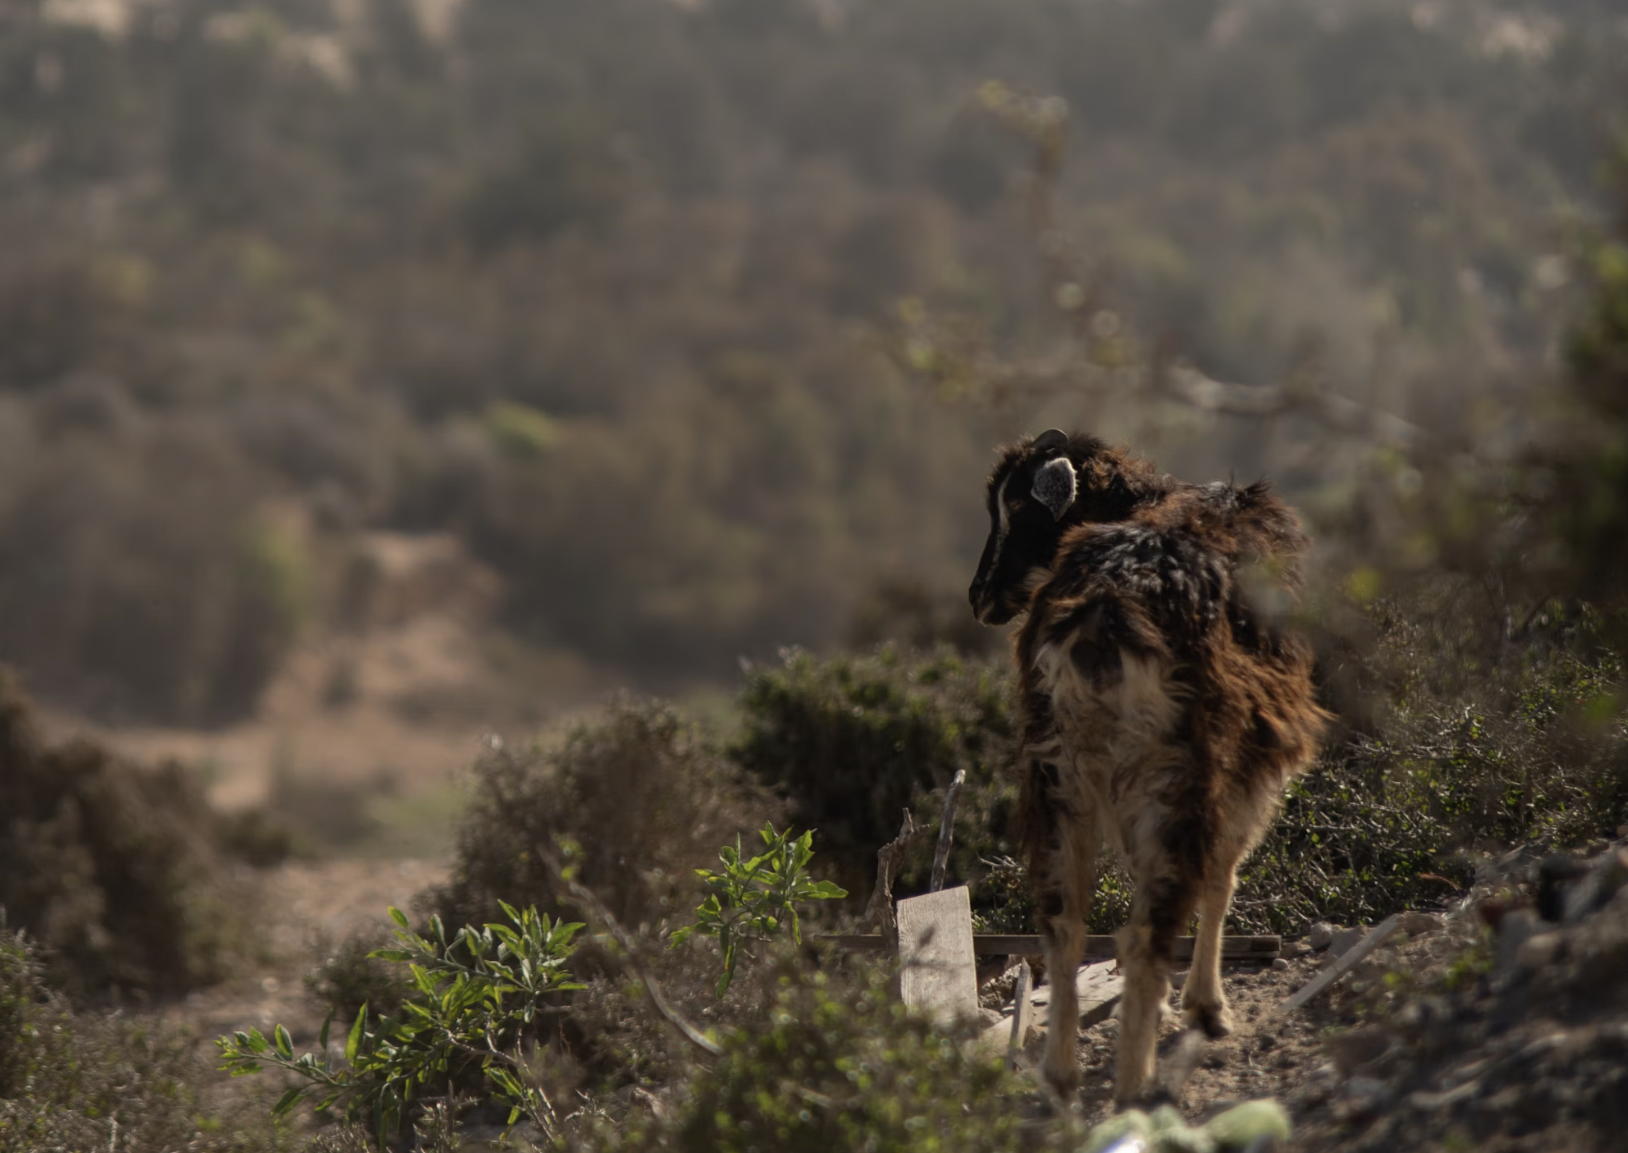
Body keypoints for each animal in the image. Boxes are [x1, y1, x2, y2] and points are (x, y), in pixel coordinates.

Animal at [968, 429, 1327, 1105]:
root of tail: (1101, 619)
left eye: (1019, 508)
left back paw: (1062, 1073)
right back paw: (1137, 1082)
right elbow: (1224, 876)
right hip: (1180, 769)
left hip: (1055, 774)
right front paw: (1205, 1007)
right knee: (1150, 924)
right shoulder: (1254, 761)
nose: (979, 598)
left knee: (1063, 921)